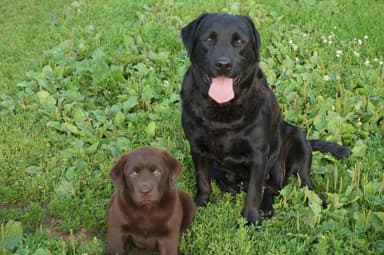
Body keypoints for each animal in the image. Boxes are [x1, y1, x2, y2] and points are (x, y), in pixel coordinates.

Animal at [179, 13, 348, 225]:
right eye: (209, 39)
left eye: (239, 41)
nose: (223, 64)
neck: (223, 109)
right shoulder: (197, 148)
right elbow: (202, 180)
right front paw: (200, 204)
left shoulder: (258, 155)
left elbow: (254, 191)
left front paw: (251, 220)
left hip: (298, 140)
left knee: (296, 184)